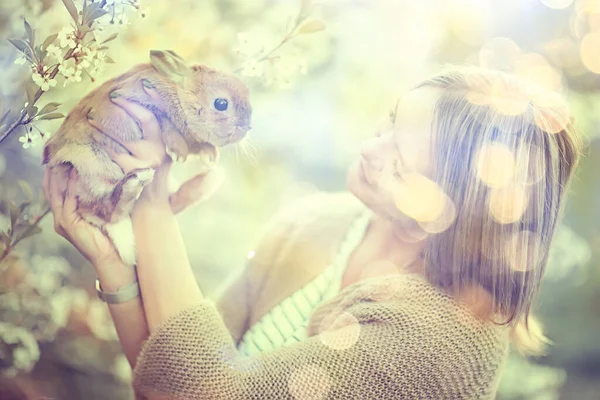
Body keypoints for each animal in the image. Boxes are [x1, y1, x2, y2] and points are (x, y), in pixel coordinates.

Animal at [42, 50, 253, 266]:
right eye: (221, 103)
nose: (247, 128)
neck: (181, 95)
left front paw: (211, 156)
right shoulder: (142, 102)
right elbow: (167, 123)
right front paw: (179, 151)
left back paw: (207, 181)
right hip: (93, 169)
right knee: (102, 211)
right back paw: (132, 184)